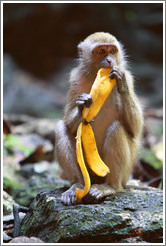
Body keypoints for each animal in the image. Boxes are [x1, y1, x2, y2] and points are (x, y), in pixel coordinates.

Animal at [55, 32, 143, 206]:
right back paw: (76, 185)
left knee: (116, 128)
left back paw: (110, 186)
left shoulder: (129, 77)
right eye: (101, 51)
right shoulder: (75, 80)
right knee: (61, 128)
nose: (109, 60)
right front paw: (82, 105)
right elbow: (68, 124)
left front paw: (121, 84)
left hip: (126, 173)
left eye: (113, 51)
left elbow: (135, 129)